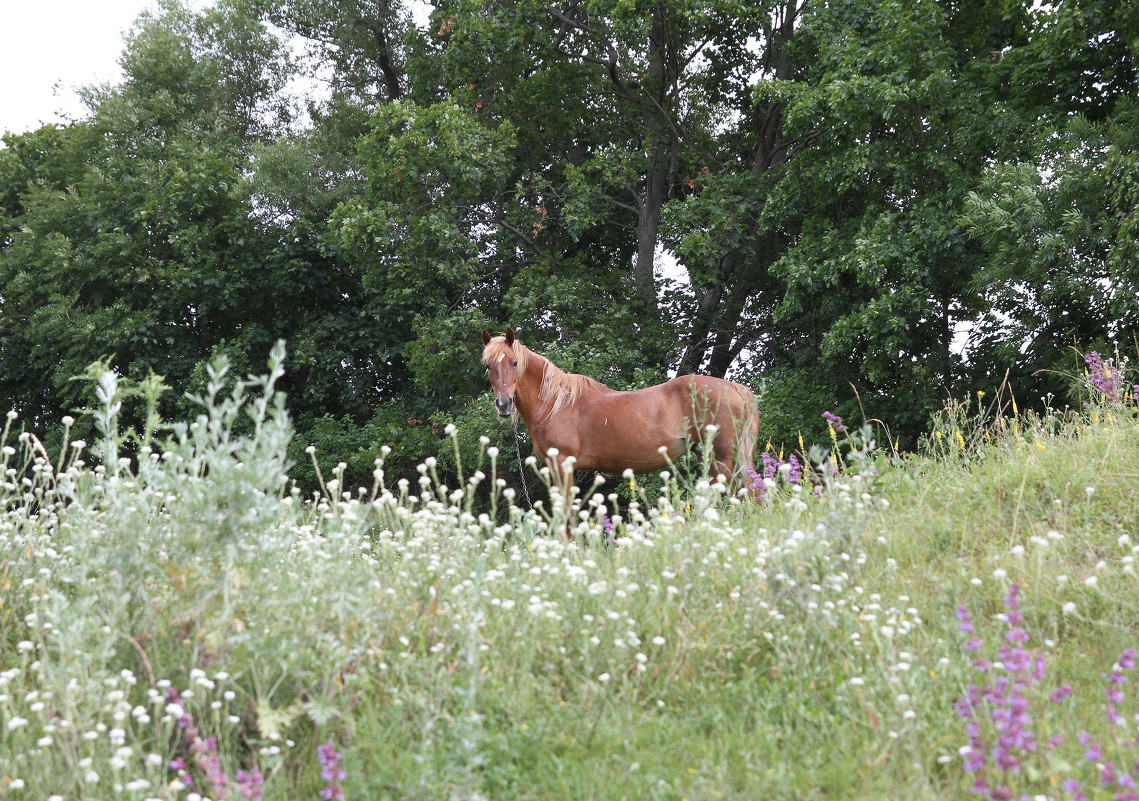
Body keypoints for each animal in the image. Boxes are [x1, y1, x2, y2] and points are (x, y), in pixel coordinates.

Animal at [480, 328, 756, 501]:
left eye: (514, 363)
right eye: (489, 366)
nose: (503, 404)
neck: (556, 404)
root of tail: (735, 388)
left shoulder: (562, 466)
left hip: (723, 460)